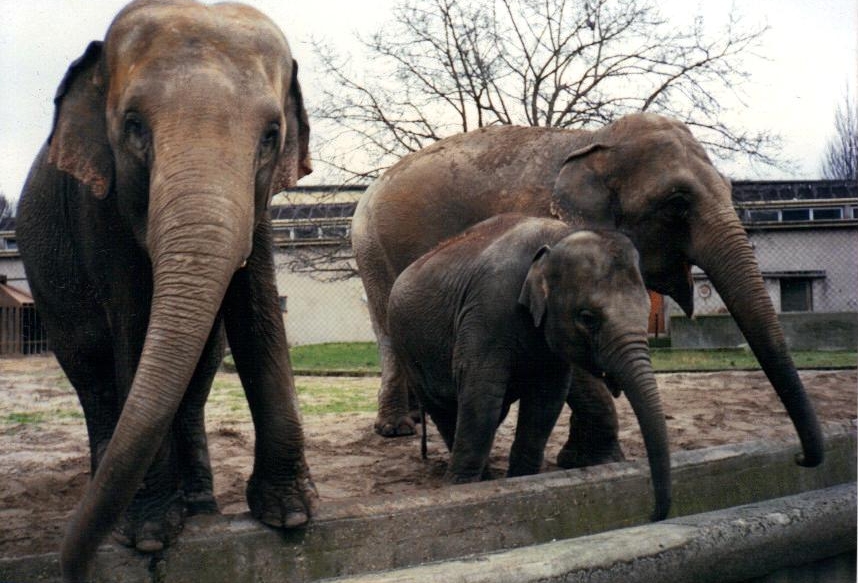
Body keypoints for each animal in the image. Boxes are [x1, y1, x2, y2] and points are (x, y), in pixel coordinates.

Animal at [15, 1, 315, 580]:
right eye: (133, 126)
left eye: (271, 134)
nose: (70, 566)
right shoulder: (100, 206)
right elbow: (133, 320)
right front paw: (150, 536)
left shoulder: (260, 205)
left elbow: (258, 314)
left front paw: (291, 515)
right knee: (94, 378)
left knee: (194, 382)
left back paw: (202, 506)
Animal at [352, 113, 824, 473]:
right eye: (677, 202)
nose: (800, 459)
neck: (594, 142)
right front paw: (594, 461)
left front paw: (582, 461)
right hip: (373, 251)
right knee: (386, 329)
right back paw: (396, 428)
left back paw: (415, 420)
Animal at [388, 214, 670, 520]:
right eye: (587, 317)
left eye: (647, 310)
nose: (653, 514)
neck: (556, 238)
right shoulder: (487, 310)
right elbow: (481, 394)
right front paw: (462, 488)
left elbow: (545, 402)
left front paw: (522, 480)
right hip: (407, 348)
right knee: (448, 409)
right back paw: (479, 477)